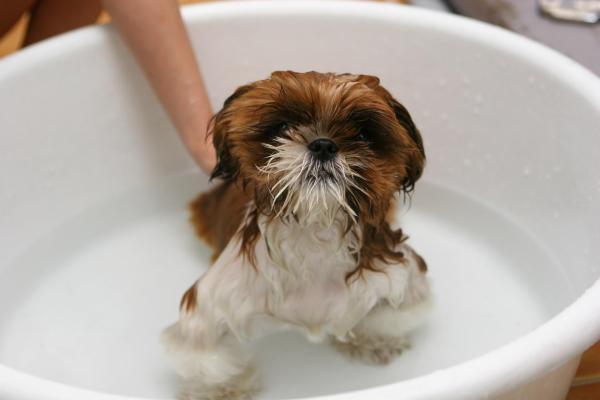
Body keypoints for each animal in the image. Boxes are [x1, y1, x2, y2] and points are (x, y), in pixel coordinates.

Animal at [162, 72, 428, 400]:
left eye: (363, 134)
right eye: (282, 127)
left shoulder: (398, 275)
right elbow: (206, 357)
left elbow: (385, 317)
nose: (323, 144)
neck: (314, 233)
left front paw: (372, 341)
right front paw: (222, 389)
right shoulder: (211, 306)